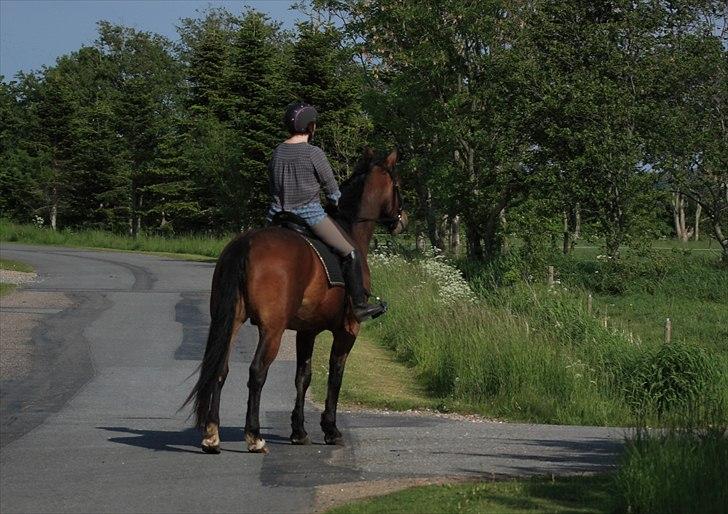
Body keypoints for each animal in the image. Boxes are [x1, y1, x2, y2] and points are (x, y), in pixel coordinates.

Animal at [185, 147, 406, 452]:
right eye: (397, 185)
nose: (402, 220)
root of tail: (246, 243)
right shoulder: (347, 330)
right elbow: (335, 374)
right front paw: (331, 429)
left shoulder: (306, 331)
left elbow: (303, 377)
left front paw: (299, 431)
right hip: (272, 330)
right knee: (257, 373)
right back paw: (254, 437)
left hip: (231, 321)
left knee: (220, 370)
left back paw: (211, 435)